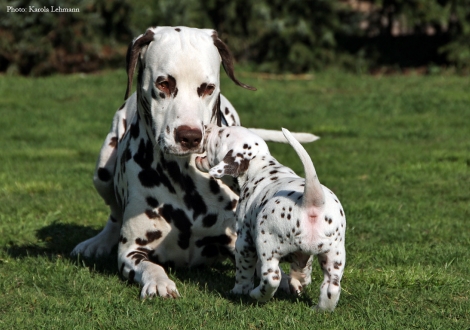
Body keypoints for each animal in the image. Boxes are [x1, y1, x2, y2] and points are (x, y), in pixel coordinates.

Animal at [70, 26, 320, 300]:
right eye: (163, 83)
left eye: (208, 88)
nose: (189, 136)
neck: (185, 179)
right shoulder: (131, 252)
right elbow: (150, 265)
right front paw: (159, 282)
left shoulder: (239, 241)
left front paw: (288, 279)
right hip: (103, 171)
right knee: (114, 214)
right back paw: (97, 243)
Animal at [195, 125, 346, 310]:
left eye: (221, 134)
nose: (207, 127)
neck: (261, 166)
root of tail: (311, 201)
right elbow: (304, 268)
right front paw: (300, 280)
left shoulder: (244, 241)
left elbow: (244, 271)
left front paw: (238, 291)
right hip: (334, 254)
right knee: (332, 286)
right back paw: (320, 309)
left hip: (268, 246)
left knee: (272, 278)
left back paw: (256, 295)